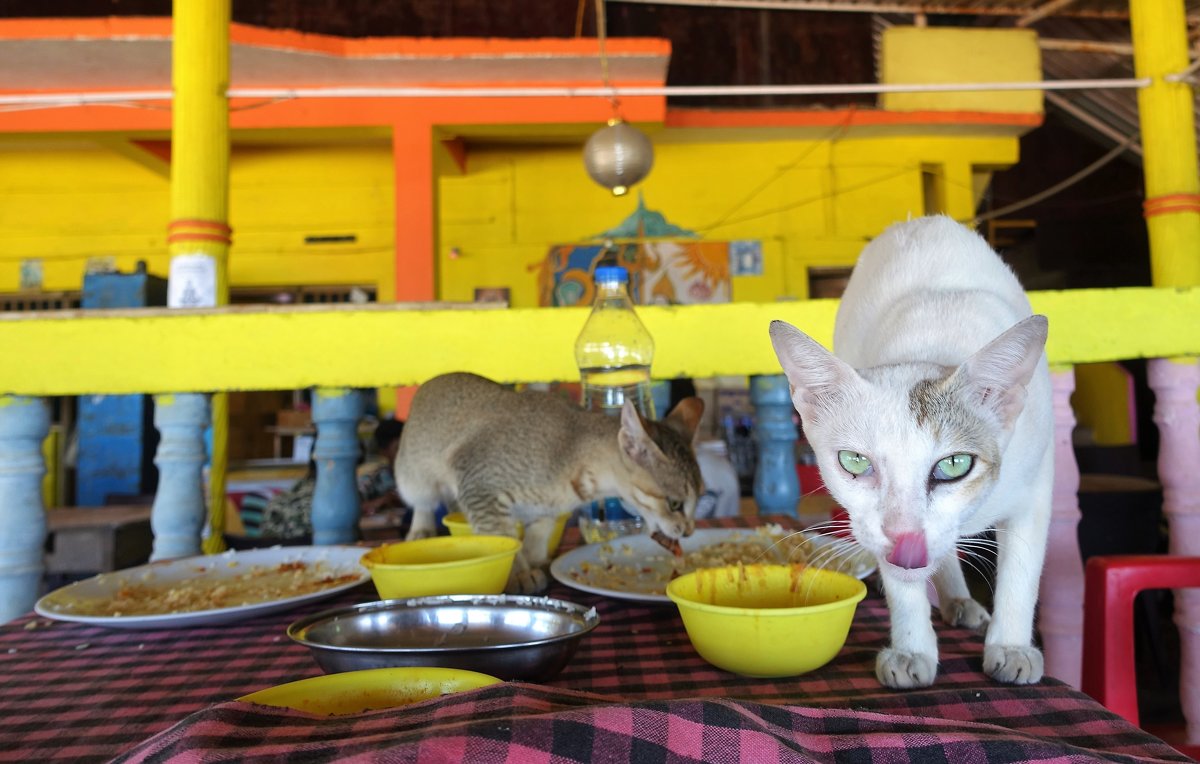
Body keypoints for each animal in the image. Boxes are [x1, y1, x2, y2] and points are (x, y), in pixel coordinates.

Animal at [768, 215, 1051, 690]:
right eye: (855, 462)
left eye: (954, 465)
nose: (904, 537)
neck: (926, 345)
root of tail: (921, 221)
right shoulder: (871, 525)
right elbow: (902, 581)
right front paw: (912, 649)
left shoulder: (1034, 488)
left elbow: (1022, 570)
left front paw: (1011, 647)